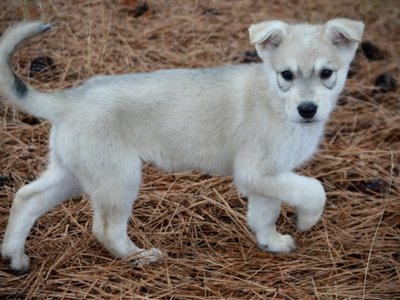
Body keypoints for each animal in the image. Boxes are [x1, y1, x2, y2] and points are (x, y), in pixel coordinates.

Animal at [0, 19, 362, 274]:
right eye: (286, 75)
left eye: (327, 73)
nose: (307, 110)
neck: (275, 100)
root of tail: (69, 100)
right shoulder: (256, 173)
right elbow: (314, 190)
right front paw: (306, 221)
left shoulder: (267, 178)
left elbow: (264, 215)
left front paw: (271, 243)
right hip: (118, 180)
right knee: (105, 229)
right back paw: (139, 256)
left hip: (74, 174)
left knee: (27, 199)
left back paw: (15, 258)